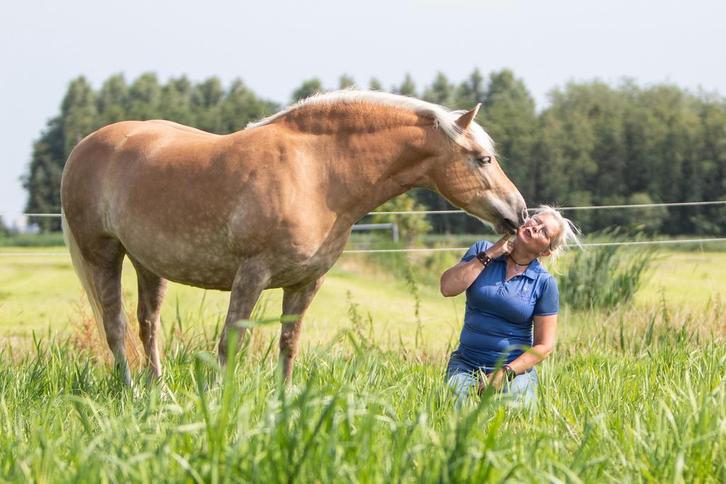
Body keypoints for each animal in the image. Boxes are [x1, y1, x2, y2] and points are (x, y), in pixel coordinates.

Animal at [60, 90, 527, 385]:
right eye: (483, 159)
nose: (519, 213)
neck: (317, 173)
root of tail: (84, 146)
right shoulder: (251, 275)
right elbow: (231, 343)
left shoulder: (305, 283)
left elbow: (289, 344)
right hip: (103, 255)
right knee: (116, 326)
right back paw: (130, 390)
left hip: (148, 265)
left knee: (148, 326)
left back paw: (159, 392)